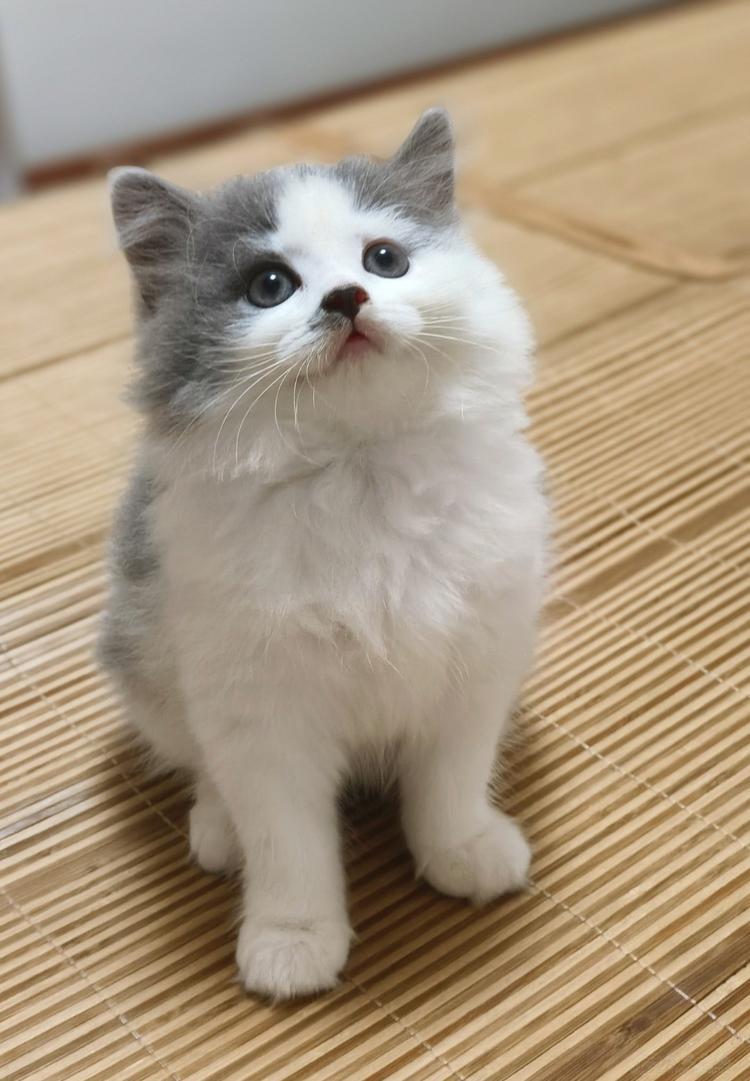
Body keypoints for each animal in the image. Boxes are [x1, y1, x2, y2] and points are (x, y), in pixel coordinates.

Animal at [99, 108, 549, 1000]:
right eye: (270, 285)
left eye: (386, 260)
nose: (348, 298)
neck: (358, 467)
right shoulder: (259, 711)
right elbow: (289, 846)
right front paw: (291, 941)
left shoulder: (474, 669)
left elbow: (448, 786)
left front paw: (463, 852)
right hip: (152, 673)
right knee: (203, 772)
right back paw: (216, 832)